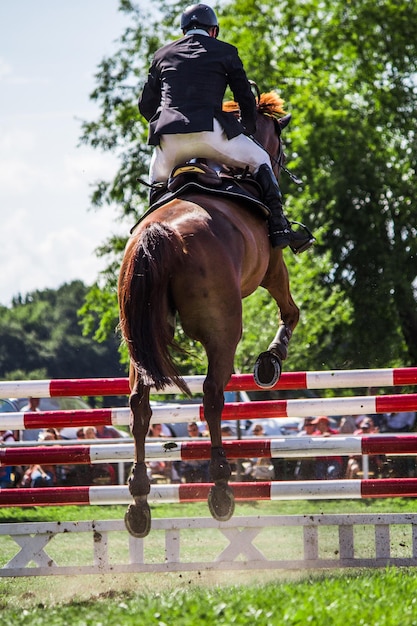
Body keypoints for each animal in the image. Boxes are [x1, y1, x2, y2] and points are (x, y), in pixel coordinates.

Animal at [118, 92, 300, 536]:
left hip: (139, 341)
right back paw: (220, 489)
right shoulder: (273, 267)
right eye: (280, 146)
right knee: (213, 395)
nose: (282, 165)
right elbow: (290, 311)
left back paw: (139, 502)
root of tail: (159, 235)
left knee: (139, 406)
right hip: (223, 330)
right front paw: (270, 362)